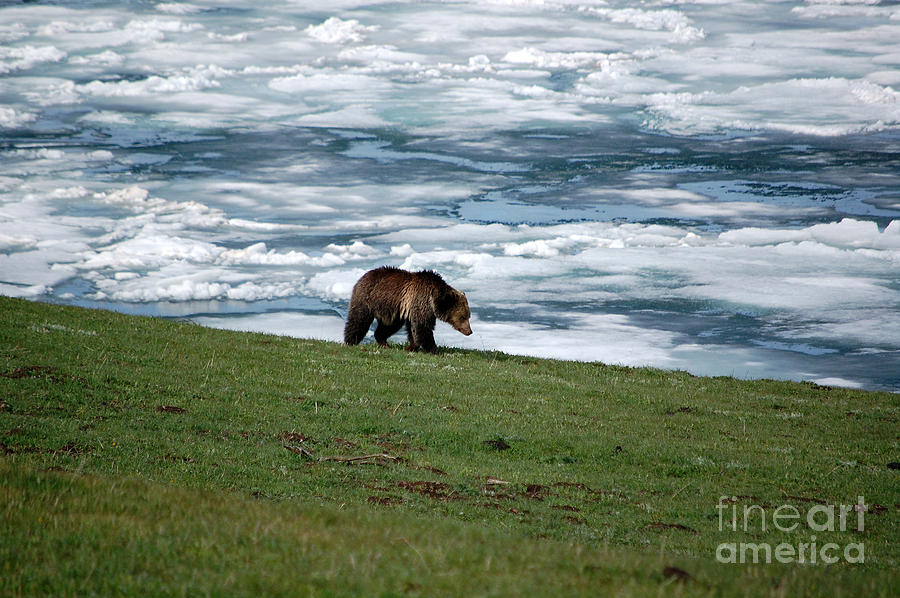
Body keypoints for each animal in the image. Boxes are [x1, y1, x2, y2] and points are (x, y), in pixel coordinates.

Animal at [342, 266, 474, 354]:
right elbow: (423, 328)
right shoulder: (421, 302)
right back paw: (350, 341)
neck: (435, 300)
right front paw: (434, 350)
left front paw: (410, 347)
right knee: (358, 321)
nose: (470, 331)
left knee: (388, 327)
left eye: (469, 316)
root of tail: (363, 276)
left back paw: (385, 344)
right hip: (367, 300)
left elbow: (414, 330)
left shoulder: (412, 309)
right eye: (463, 316)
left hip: (392, 310)